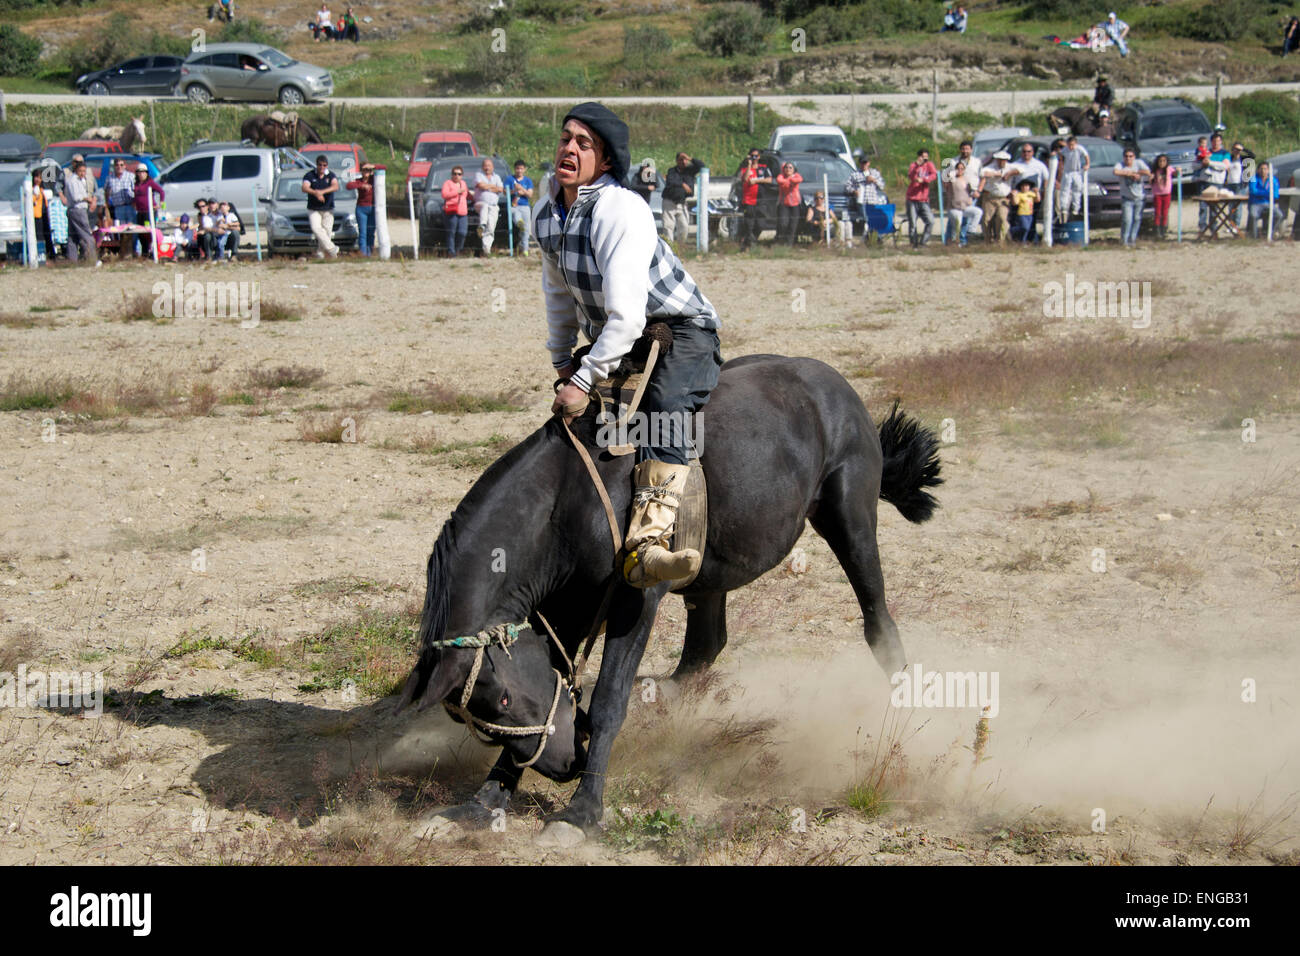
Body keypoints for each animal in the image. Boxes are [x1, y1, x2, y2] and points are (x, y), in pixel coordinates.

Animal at [390, 356, 941, 848]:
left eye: (503, 699)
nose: (562, 767)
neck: (567, 497)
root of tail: (837, 386)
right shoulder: (568, 607)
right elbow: (561, 683)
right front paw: (480, 805)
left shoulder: (634, 600)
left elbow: (609, 700)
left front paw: (581, 813)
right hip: (709, 575)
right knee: (706, 645)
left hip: (850, 517)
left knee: (878, 622)